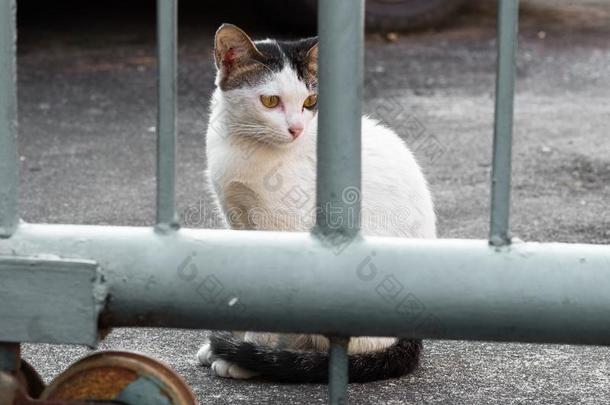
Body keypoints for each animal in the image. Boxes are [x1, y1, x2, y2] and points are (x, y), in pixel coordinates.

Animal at [197, 22, 434, 382]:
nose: (296, 128)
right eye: (270, 101)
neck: (244, 147)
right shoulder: (237, 220)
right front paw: (229, 343)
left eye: (310, 100)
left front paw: (243, 356)